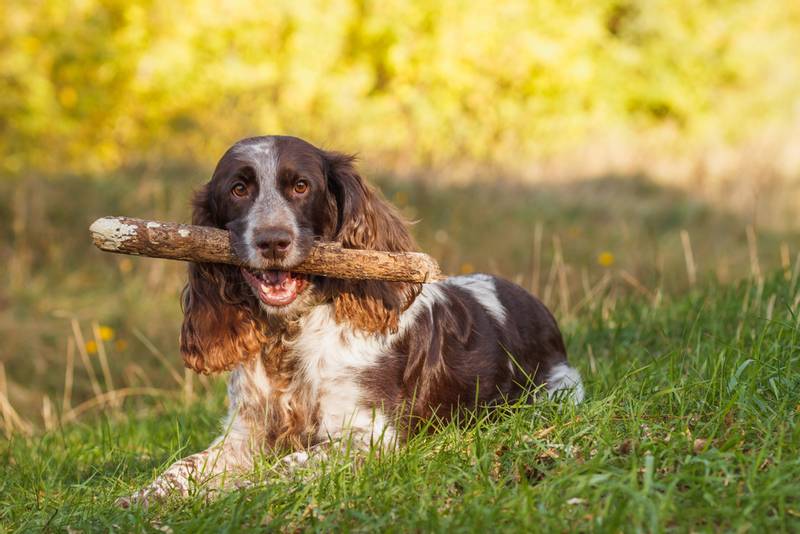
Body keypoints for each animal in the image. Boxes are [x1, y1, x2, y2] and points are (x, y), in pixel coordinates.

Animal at [117, 136, 580, 508]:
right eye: (239, 189)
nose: (272, 241)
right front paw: (143, 496)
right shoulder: (243, 432)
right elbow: (184, 466)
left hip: (558, 391)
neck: (291, 338)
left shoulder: (369, 435)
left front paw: (234, 492)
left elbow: (287, 465)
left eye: (301, 186)